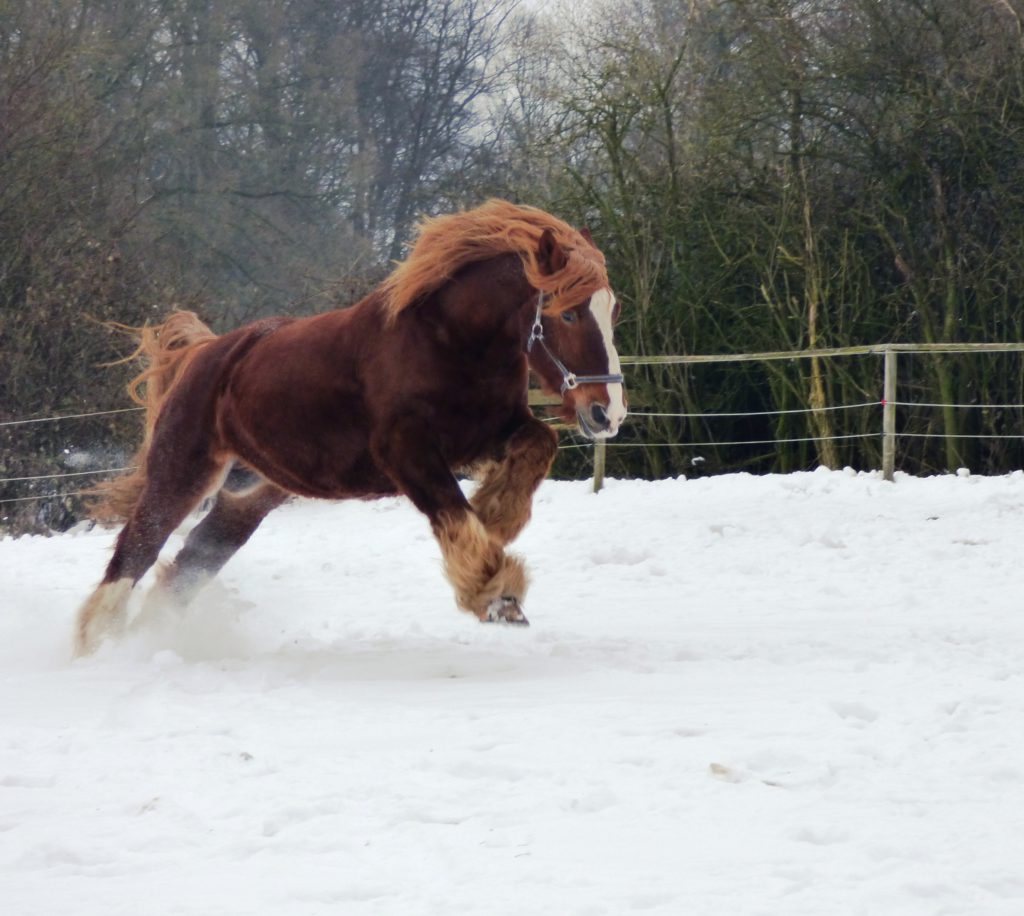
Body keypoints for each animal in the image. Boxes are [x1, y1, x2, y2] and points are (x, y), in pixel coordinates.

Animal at [74, 199, 627, 656]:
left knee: (184, 570)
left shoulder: (486, 433)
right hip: (180, 477)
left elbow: (539, 444)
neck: (448, 342)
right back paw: (95, 652)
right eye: (569, 314)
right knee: (132, 559)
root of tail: (205, 353)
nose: (610, 412)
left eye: (612, 308)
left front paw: (497, 515)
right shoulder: (406, 451)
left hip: (245, 500)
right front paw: (495, 592)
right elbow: (452, 512)